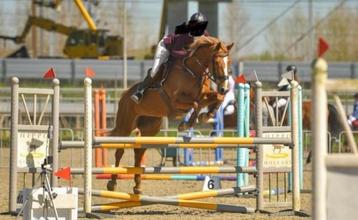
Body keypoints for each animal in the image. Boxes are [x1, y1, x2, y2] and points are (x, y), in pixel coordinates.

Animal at [107, 35, 234, 192]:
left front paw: (206, 115)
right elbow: (196, 104)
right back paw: (112, 183)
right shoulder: (175, 101)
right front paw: (186, 124)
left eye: (229, 62)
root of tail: (124, 95)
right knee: (119, 151)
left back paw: (137, 187)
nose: (224, 88)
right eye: (217, 62)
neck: (193, 71)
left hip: (150, 129)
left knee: (139, 152)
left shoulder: (204, 95)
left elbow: (216, 98)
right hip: (125, 126)